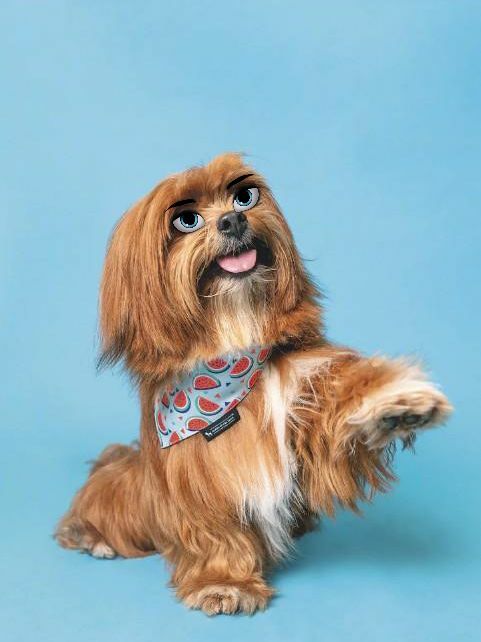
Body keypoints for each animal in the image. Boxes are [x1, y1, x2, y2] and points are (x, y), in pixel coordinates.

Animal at [56, 153, 452, 615]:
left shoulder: (302, 397)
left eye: (244, 196)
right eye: (186, 220)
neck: (233, 346)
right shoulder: (198, 474)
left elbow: (340, 401)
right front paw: (223, 582)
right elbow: (216, 530)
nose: (233, 219)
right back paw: (92, 538)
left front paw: (395, 404)